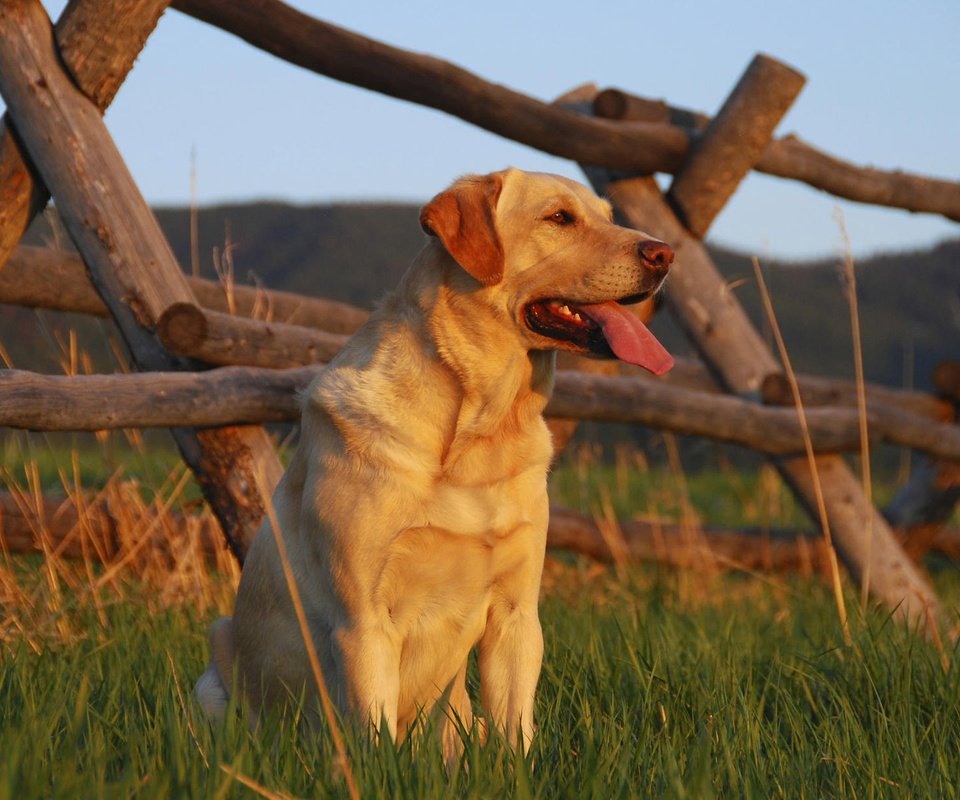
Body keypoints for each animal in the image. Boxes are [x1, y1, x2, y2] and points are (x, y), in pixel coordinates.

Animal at [195, 167, 676, 756]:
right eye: (559, 218)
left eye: (609, 216)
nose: (665, 254)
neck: (479, 431)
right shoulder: (364, 620)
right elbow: (375, 738)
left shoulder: (517, 614)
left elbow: (516, 734)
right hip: (215, 670)